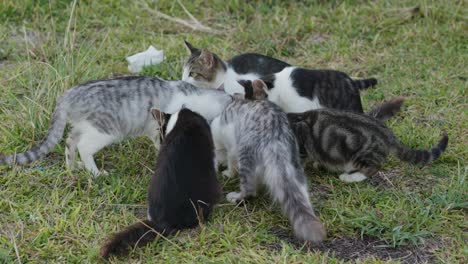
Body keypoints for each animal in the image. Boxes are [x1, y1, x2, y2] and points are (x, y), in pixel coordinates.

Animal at [0, 75, 232, 176]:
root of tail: (68, 95)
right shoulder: (161, 127)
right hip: (104, 130)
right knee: (83, 146)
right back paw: (95, 173)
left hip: (84, 126)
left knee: (70, 141)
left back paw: (72, 167)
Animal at [210, 98, 328, 242]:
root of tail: (276, 136)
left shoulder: (230, 143)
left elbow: (231, 161)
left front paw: (228, 172)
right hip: (294, 163)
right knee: (301, 191)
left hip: (245, 151)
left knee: (249, 189)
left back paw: (237, 197)